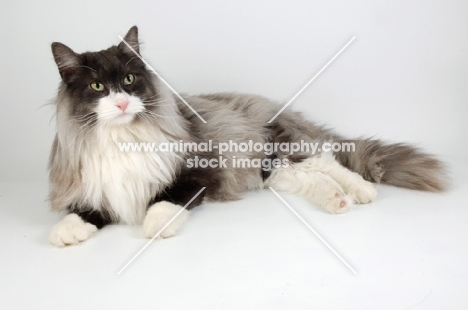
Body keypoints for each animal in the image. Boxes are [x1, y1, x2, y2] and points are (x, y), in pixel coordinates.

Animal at [46, 26, 446, 247]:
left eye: (129, 80)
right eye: (97, 87)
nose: (122, 102)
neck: (121, 139)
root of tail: (271, 105)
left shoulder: (197, 174)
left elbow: (165, 200)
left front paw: (156, 225)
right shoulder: (96, 189)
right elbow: (83, 213)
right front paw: (65, 233)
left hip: (281, 150)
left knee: (329, 162)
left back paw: (362, 191)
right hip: (273, 171)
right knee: (315, 177)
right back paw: (338, 201)